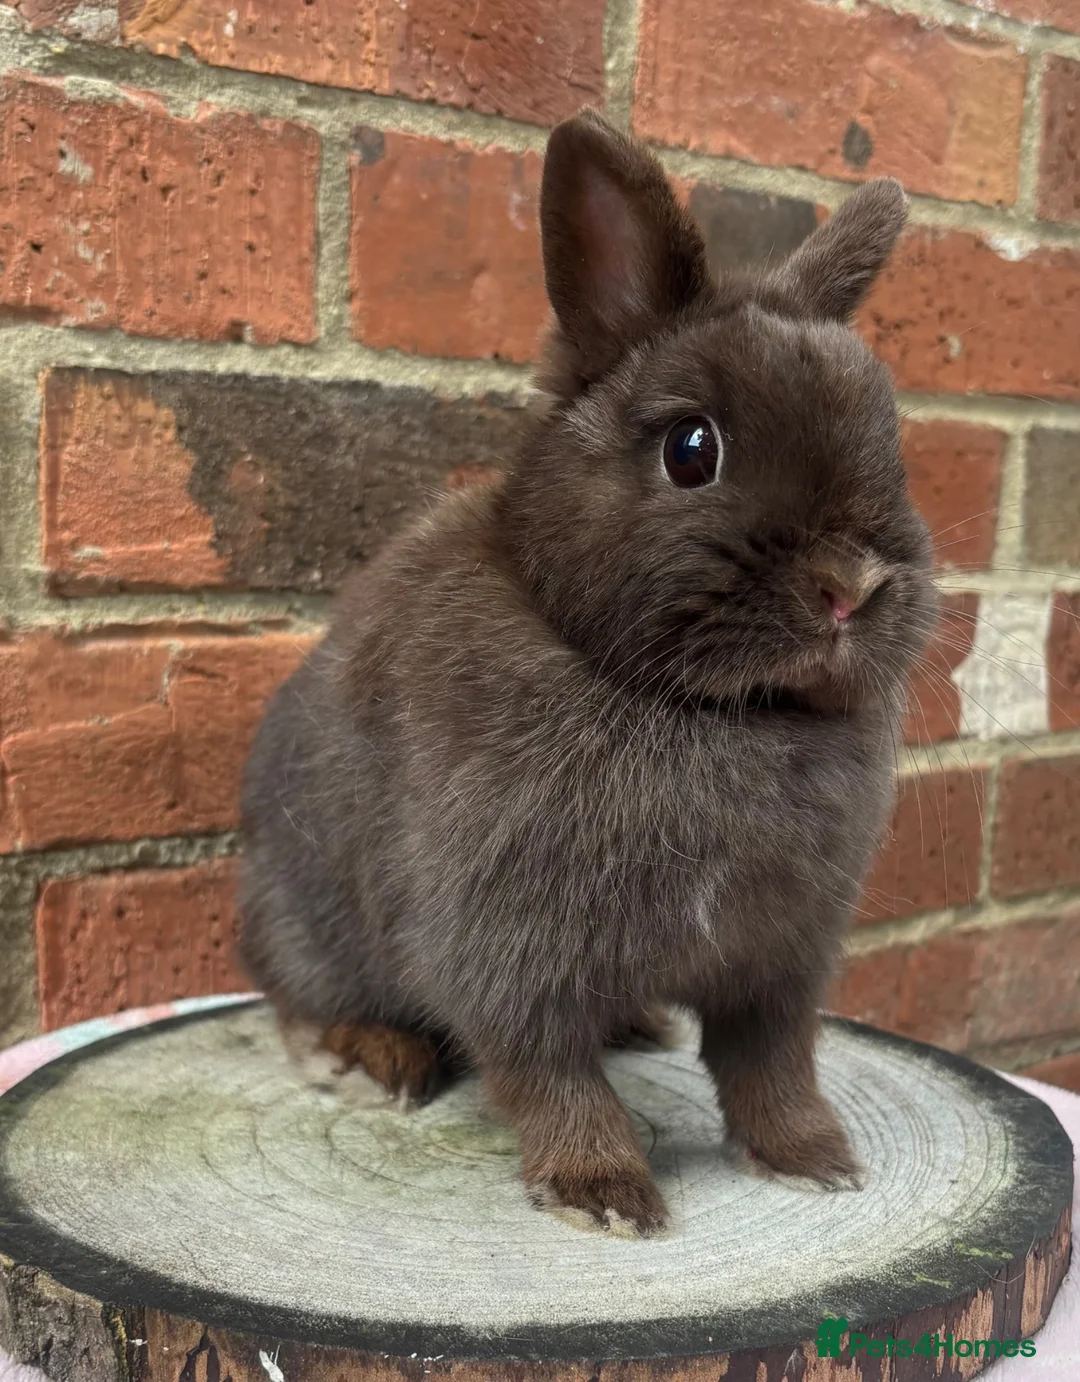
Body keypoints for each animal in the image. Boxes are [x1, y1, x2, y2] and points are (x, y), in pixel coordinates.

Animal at [239, 108, 936, 1237]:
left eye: (894, 445)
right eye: (693, 449)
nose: (852, 585)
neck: (707, 710)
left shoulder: (779, 964)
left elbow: (771, 1065)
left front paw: (815, 1160)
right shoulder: (505, 950)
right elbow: (549, 1074)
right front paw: (603, 1194)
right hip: (302, 919)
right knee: (301, 1001)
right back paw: (371, 1061)